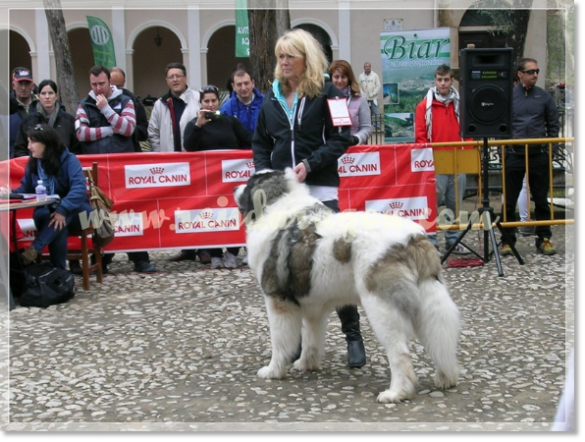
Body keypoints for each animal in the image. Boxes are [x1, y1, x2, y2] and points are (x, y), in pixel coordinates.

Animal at [234, 169, 460, 404]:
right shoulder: (313, 306)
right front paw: (306, 364)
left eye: (248, 184)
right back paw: (446, 377)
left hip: (381, 308)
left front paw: (273, 371)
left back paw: (396, 392)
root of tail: (413, 238)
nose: (234, 188)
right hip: (429, 301)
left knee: (400, 353)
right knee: (440, 336)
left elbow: (279, 342)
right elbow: (311, 337)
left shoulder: (278, 302)